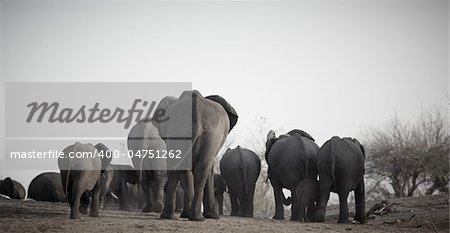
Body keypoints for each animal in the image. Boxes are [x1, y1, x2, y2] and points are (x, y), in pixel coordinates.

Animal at [161, 90, 239, 221]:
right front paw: (213, 216)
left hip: (179, 131)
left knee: (180, 169)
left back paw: (172, 216)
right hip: (211, 134)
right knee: (202, 169)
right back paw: (198, 217)